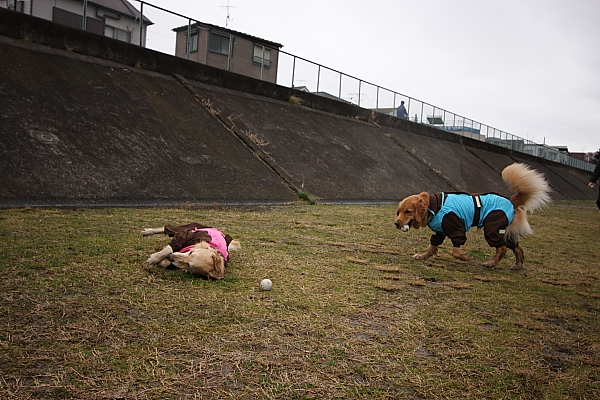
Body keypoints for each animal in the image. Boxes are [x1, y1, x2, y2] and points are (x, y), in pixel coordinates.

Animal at [396, 162, 552, 268]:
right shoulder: (439, 231)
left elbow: (456, 250)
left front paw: (465, 257)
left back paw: (491, 263)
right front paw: (422, 256)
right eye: (398, 211)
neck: (435, 206)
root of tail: (511, 200)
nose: (396, 223)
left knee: (502, 248)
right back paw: (517, 266)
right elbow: (432, 246)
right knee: (517, 248)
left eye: (408, 211)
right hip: (507, 231)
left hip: (492, 228)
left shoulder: (456, 227)